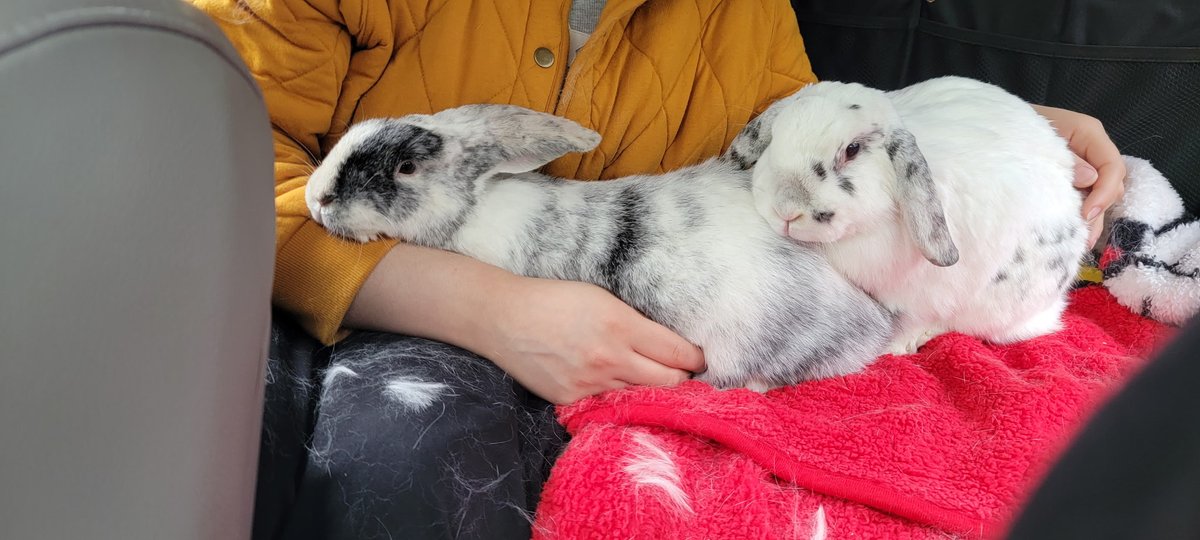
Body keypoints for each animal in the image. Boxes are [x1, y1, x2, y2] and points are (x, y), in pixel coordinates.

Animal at [726, 76, 1088, 355]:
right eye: (774, 138)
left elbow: (910, 319)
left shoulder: (919, 296)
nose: (786, 210)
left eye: (852, 150)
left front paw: (894, 346)